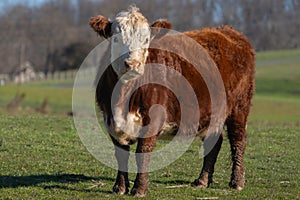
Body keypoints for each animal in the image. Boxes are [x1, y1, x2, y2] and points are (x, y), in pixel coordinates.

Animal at [90, 5, 254, 197]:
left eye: (146, 39)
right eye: (115, 38)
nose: (132, 64)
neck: (123, 99)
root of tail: (228, 31)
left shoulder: (153, 120)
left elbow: (143, 152)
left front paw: (139, 189)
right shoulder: (110, 119)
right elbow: (120, 154)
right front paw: (120, 187)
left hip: (239, 107)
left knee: (238, 140)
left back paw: (237, 182)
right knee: (214, 141)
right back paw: (202, 181)